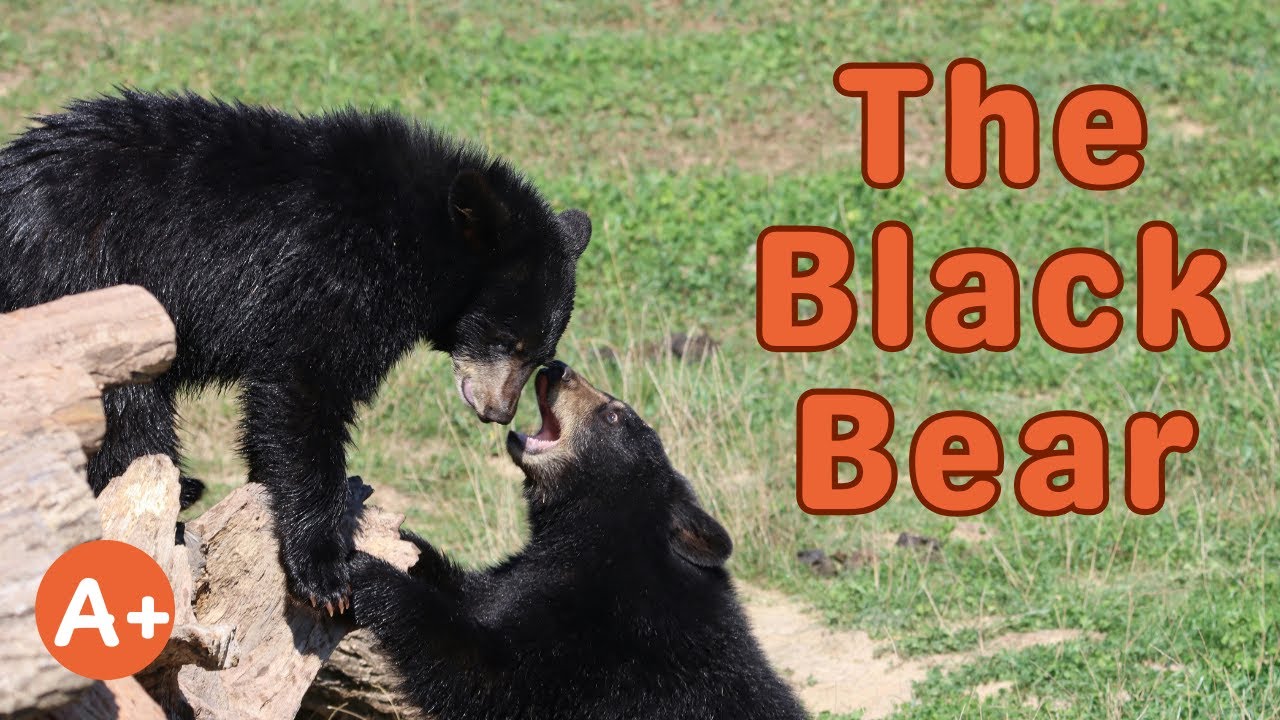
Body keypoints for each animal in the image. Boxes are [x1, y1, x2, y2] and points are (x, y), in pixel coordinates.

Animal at [0, 91, 591, 610]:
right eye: (508, 341)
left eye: (539, 354)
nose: (499, 412)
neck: (414, 236)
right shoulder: (333, 276)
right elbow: (304, 389)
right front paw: (323, 570)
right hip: (83, 291)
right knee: (129, 414)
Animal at [350, 361, 808, 719]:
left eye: (615, 416)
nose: (556, 367)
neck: (598, 537)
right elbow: (480, 592)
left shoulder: (599, 644)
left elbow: (486, 674)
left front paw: (371, 576)